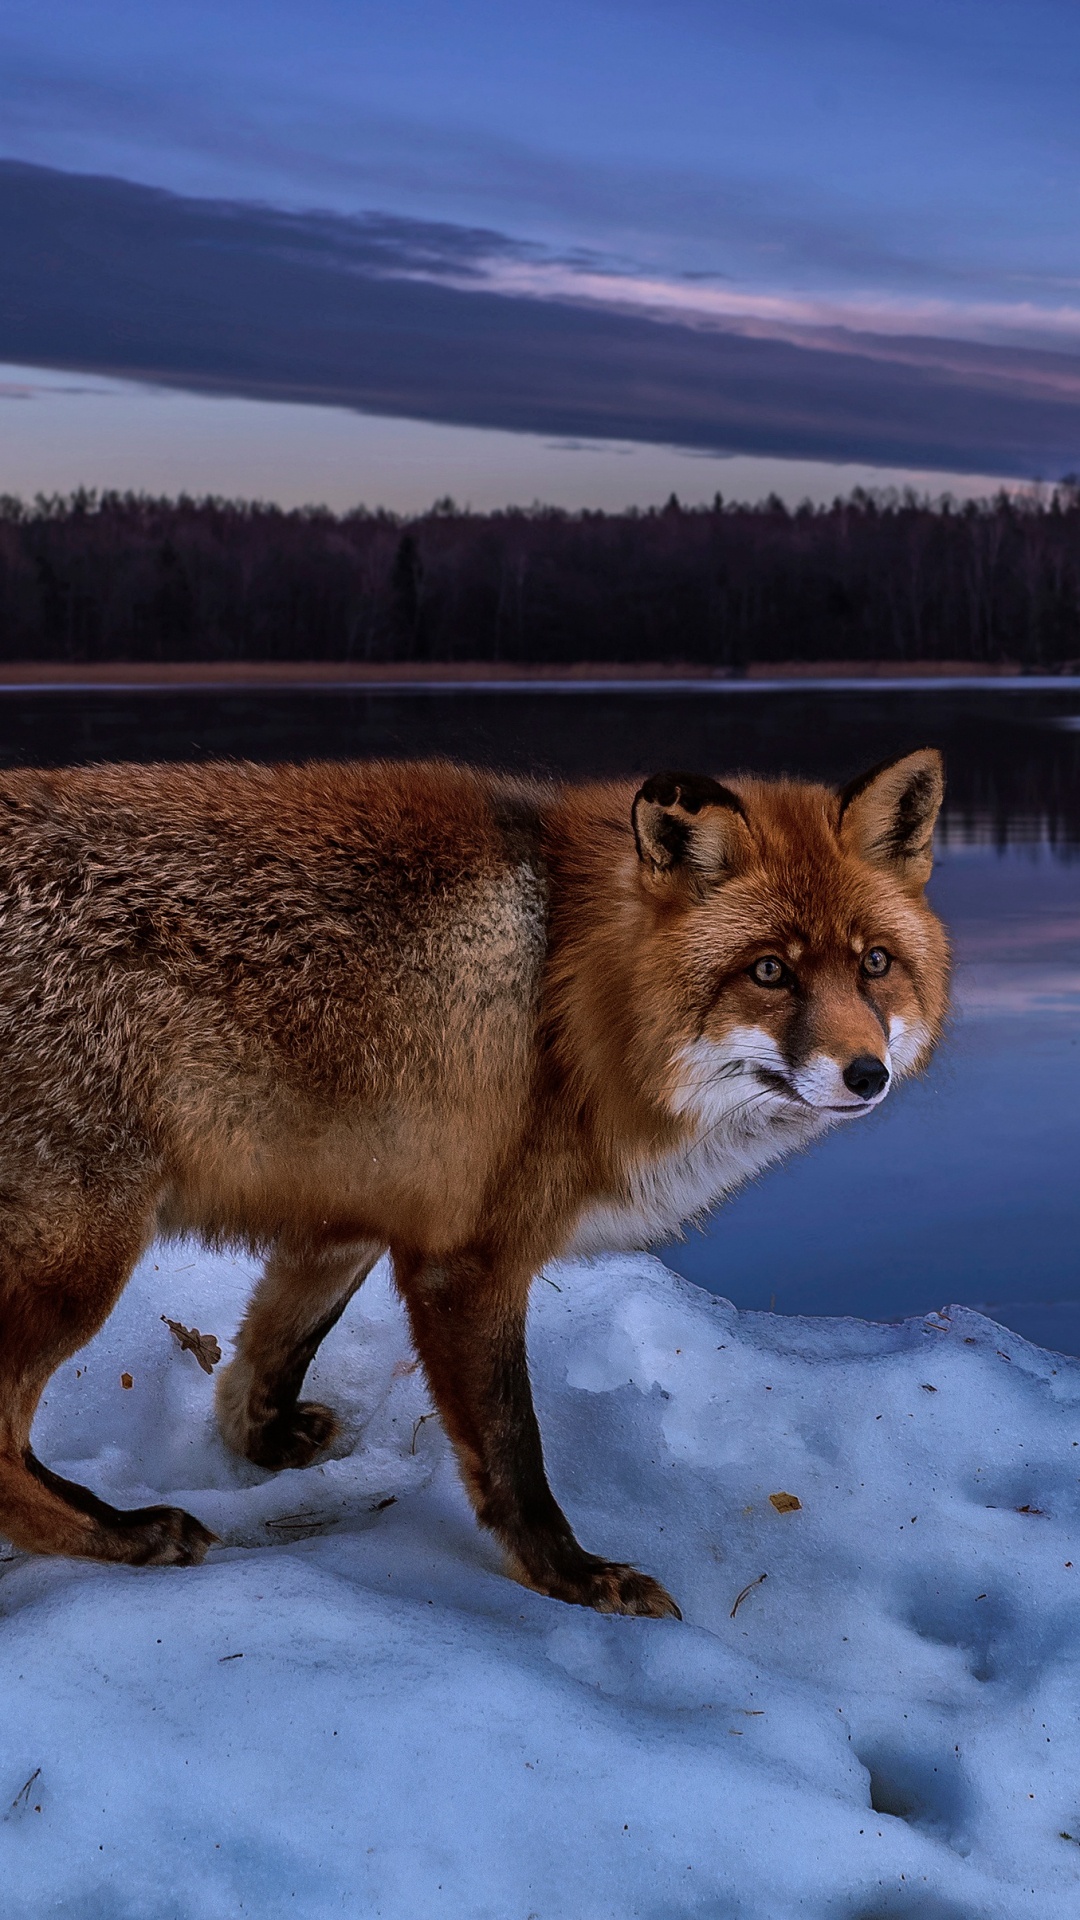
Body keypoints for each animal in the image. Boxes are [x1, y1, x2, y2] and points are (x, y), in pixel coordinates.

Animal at [0, 748, 947, 1616]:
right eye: (769, 972)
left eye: (873, 964)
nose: (866, 1075)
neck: (570, 997)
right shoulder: (470, 1260)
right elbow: (511, 1451)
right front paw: (573, 1577)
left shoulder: (361, 1206)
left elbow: (273, 1347)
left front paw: (260, 1442)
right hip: (78, 1262)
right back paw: (125, 1535)